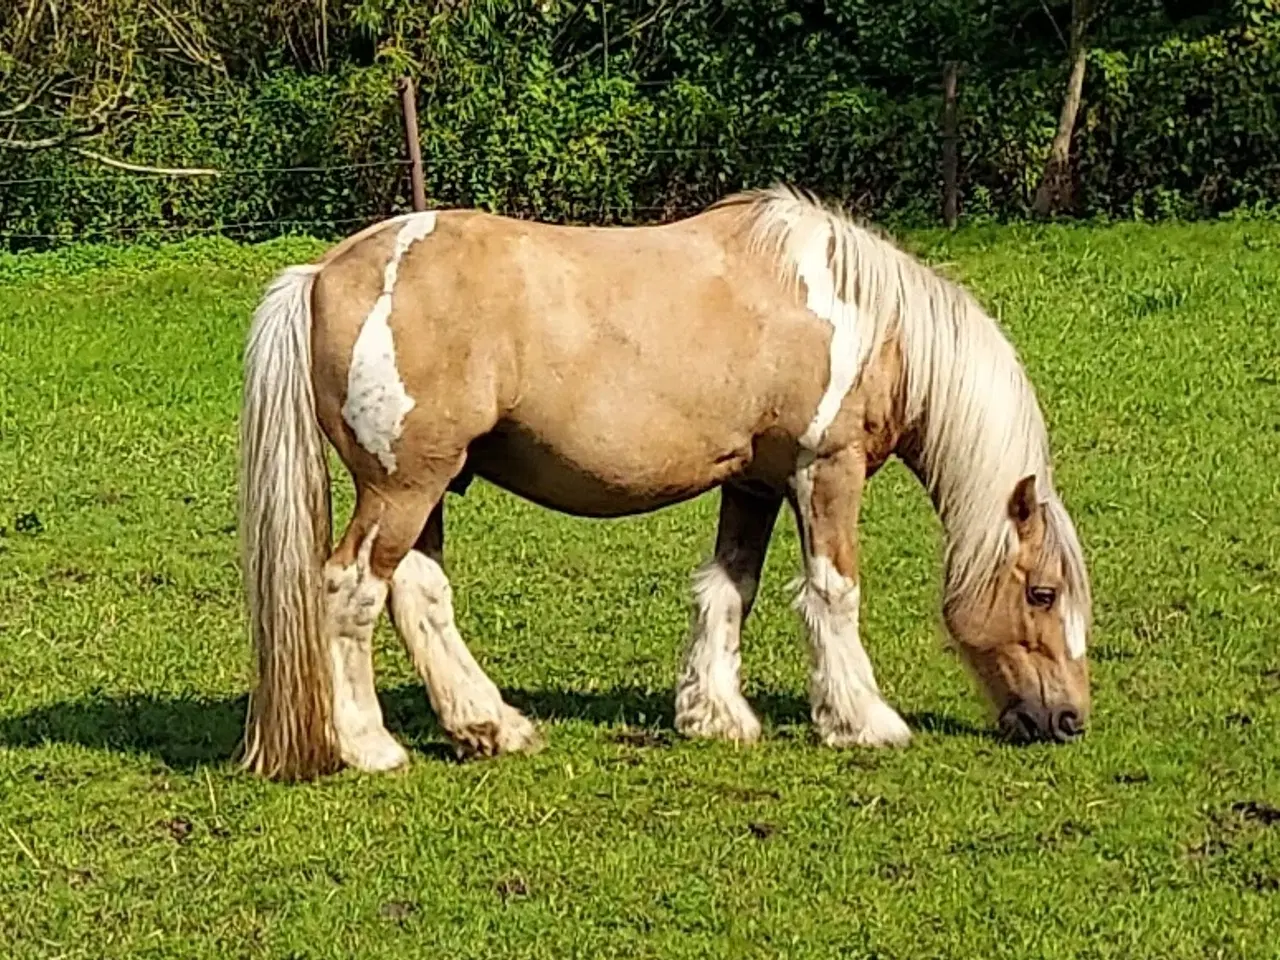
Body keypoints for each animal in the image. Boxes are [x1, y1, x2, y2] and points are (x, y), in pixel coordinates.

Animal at [238, 185, 1090, 783]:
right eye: (1042, 592)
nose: (1070, 720)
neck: (861, 316)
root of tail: (324, 274)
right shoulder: (826, 470)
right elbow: (833, 591)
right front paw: (863, 721)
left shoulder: (753, 484)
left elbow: (730, 586)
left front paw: (714, 715)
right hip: (403, 488)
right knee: (351, 592)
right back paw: (369, 746)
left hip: (430, 488)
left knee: (419, 597)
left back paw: (493, 728)